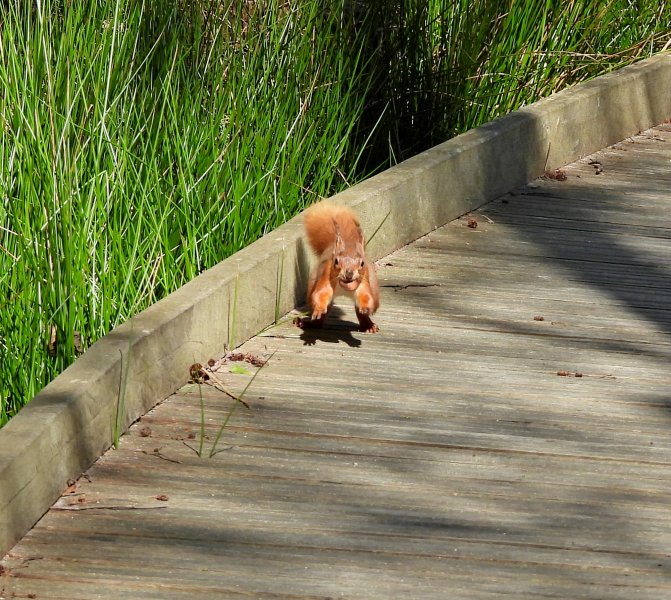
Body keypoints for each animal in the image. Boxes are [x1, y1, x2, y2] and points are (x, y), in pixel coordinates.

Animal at [294, 201, 380, 333]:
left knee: (362, 309)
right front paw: (319, 309)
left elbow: (366, 296)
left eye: (362, 263)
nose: (349, 273)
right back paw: (307, 323)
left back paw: (369, 326)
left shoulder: (364, 280)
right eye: (336, 261)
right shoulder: (326, 274)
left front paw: (365, 308)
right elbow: (320, 294)